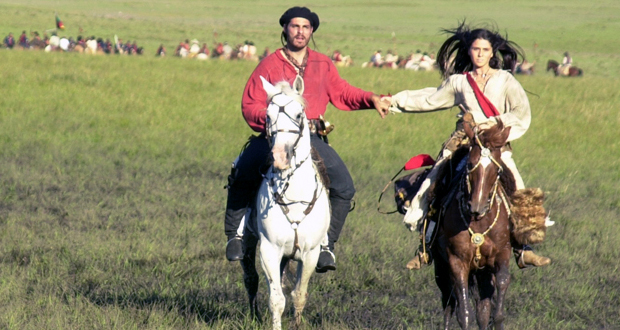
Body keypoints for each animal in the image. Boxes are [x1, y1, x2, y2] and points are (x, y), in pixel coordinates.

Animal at [240, 75, 332, 330]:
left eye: (299, 115)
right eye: (267, 116)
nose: (281, 157)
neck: (295, 198)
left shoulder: (310, 253)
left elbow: (299, 294)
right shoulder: (269, 250)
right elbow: (276, 299)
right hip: (250, 242)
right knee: (250, 279)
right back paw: (254, 315)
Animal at [428, 114, 516, 330]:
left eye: (497, 170)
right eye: (470, 165)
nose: (477, 207)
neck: (479, 224)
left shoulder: (502, 255)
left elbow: (497, 304)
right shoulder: (457, 261)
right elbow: (463, 313)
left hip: (482, 271)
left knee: (482, 310)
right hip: (442, 267)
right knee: (448, 303)